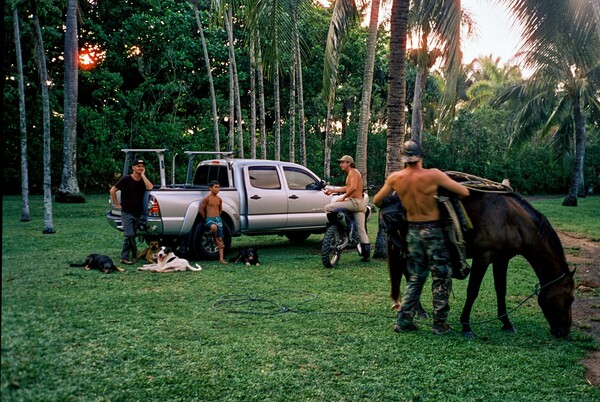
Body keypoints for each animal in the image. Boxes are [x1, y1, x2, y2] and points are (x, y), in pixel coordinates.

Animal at [384, 183, 576, 340]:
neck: (511, 221)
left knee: (410, 276)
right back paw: (420, 312)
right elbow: (473, 291)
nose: (564, 332)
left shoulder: (502, 259)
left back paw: (417, 312)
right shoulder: (482, 258)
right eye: (570, 299)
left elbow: (501, 290)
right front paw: (466, 326)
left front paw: (506, 323)